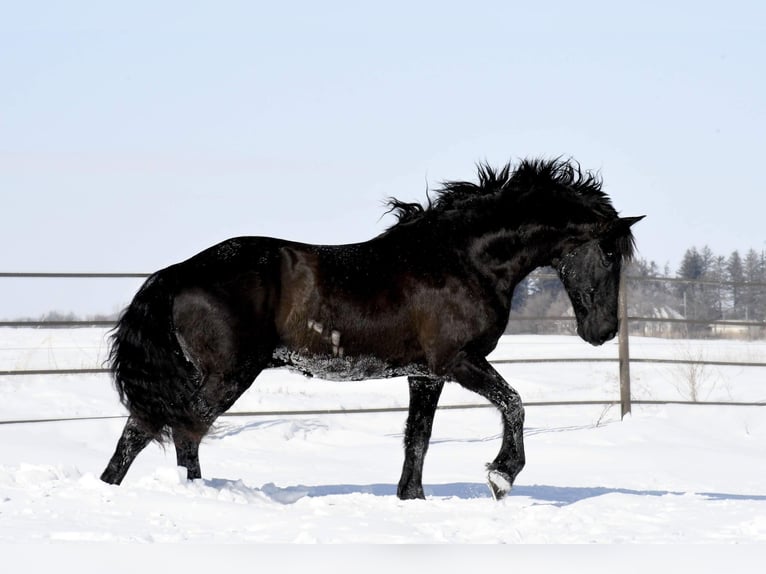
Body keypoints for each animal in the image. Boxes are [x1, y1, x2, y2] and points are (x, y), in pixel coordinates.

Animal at [100, 158, 640, 500]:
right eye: (610, 253)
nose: (602, 331)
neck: (461, 258)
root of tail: (178, 273)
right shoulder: (458, 361)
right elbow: (514, 403)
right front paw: (501, 477)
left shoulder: (425, 375)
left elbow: (418, 438)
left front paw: (412, 498)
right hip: (227, 375)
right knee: (183, 429)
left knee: (144, 428)